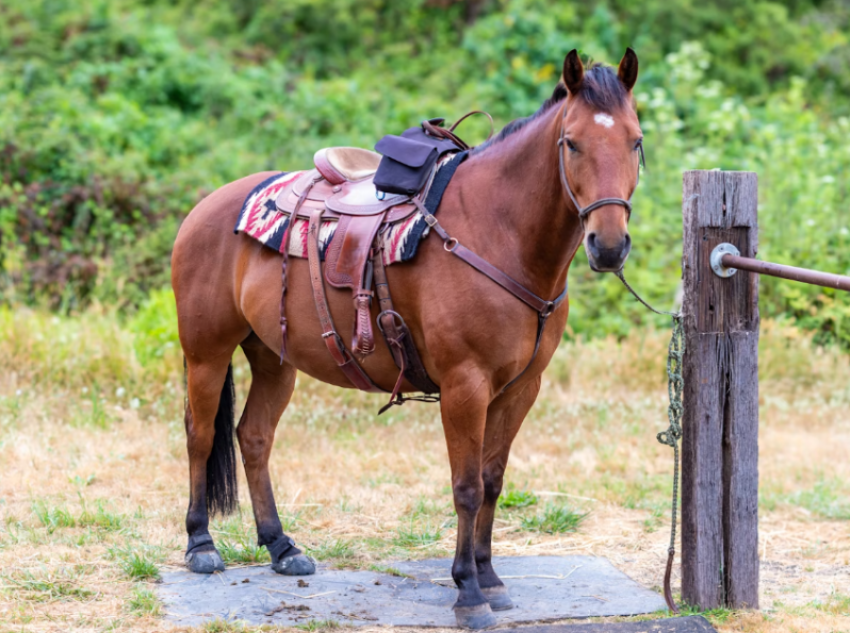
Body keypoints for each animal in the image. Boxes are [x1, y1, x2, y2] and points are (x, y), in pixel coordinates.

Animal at [169, 49, 640, 628]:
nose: (609, 245)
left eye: (635, 141)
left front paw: (490, 577)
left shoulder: (520, 388)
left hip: (275, 358)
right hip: (206, 352)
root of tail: (206, 206)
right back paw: (201, 545)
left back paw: (281, 546)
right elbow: (466, 487)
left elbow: (492, 480)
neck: (498, 232)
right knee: (199, 434)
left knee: (253, 437)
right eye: (571, 142)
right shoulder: (465, 386)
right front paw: (468, 592)